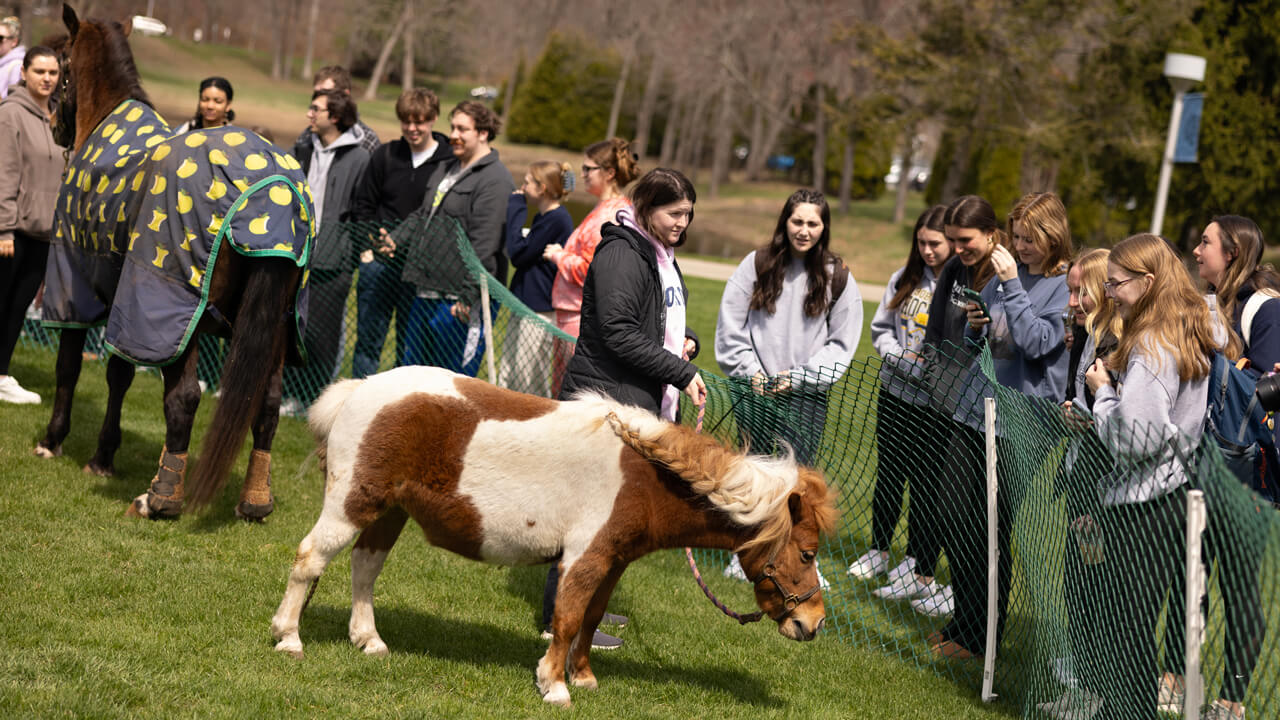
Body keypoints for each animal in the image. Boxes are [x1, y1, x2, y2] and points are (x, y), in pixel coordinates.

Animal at [34, 4, 314, 521]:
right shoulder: (126, 304)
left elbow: (69, 366)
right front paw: (104, 456)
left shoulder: (75, 280)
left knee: (184, 398)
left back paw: (161, 497)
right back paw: (255, 501)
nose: (54, 122)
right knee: (265, 405)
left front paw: (53, 439)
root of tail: (273, 183)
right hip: (278, 327)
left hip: (178, 306)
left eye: (59, 63)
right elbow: (119, 374)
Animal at [270, 366, 838, 707]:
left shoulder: (613, 561)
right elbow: (565, 618)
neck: (645, 474)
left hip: (388, 513)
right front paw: (555, 685)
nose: (813, 623)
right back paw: (289, 637)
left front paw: (582, 675)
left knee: (365, 568)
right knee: (309, 559)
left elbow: (590, 618)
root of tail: (362, 388)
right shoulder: (583, 558)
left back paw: (369, 639)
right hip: (353, 505)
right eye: (807, 553)